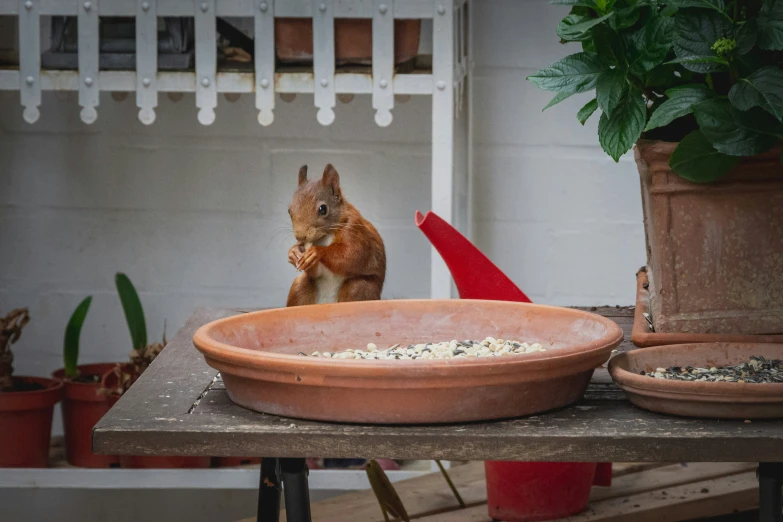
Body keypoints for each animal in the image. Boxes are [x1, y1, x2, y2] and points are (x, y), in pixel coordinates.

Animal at [286, 164, 388, 304]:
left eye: (323, 209)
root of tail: (327, 303)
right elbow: (316, 271)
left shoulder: (355, 231)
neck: (325, 236)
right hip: (299, 287)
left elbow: (351, 254)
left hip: (359, 288)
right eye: (289, 210)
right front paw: (293, 252)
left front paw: (316, 252)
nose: (300, 237)